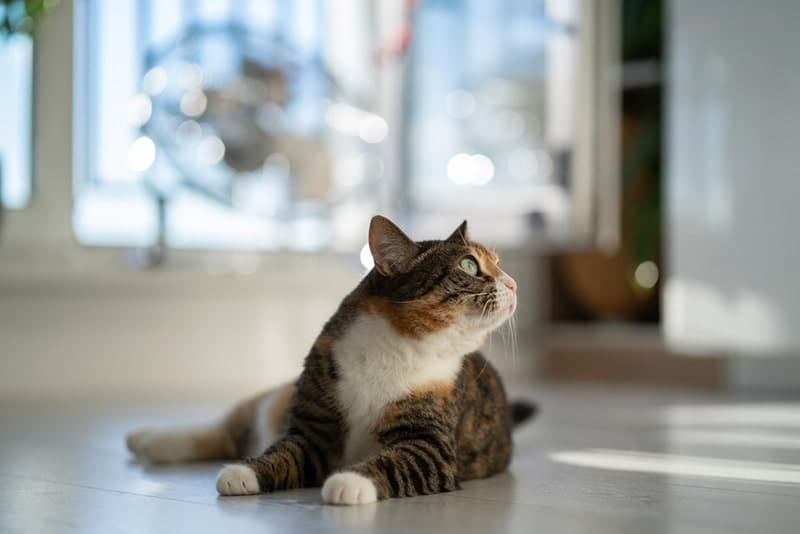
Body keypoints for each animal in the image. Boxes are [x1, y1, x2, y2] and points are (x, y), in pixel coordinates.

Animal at [125, 217, 536, 506]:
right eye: (469, 266)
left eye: (498, 263)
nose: (515, 283)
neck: (398, 347)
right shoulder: (315, 424)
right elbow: (286, 451)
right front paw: (245, 473)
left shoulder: (431, 443)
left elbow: (398, 461)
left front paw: (348, 481)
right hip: (274, 400)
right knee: (226, 428)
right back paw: (146, 437)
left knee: (227, 436)